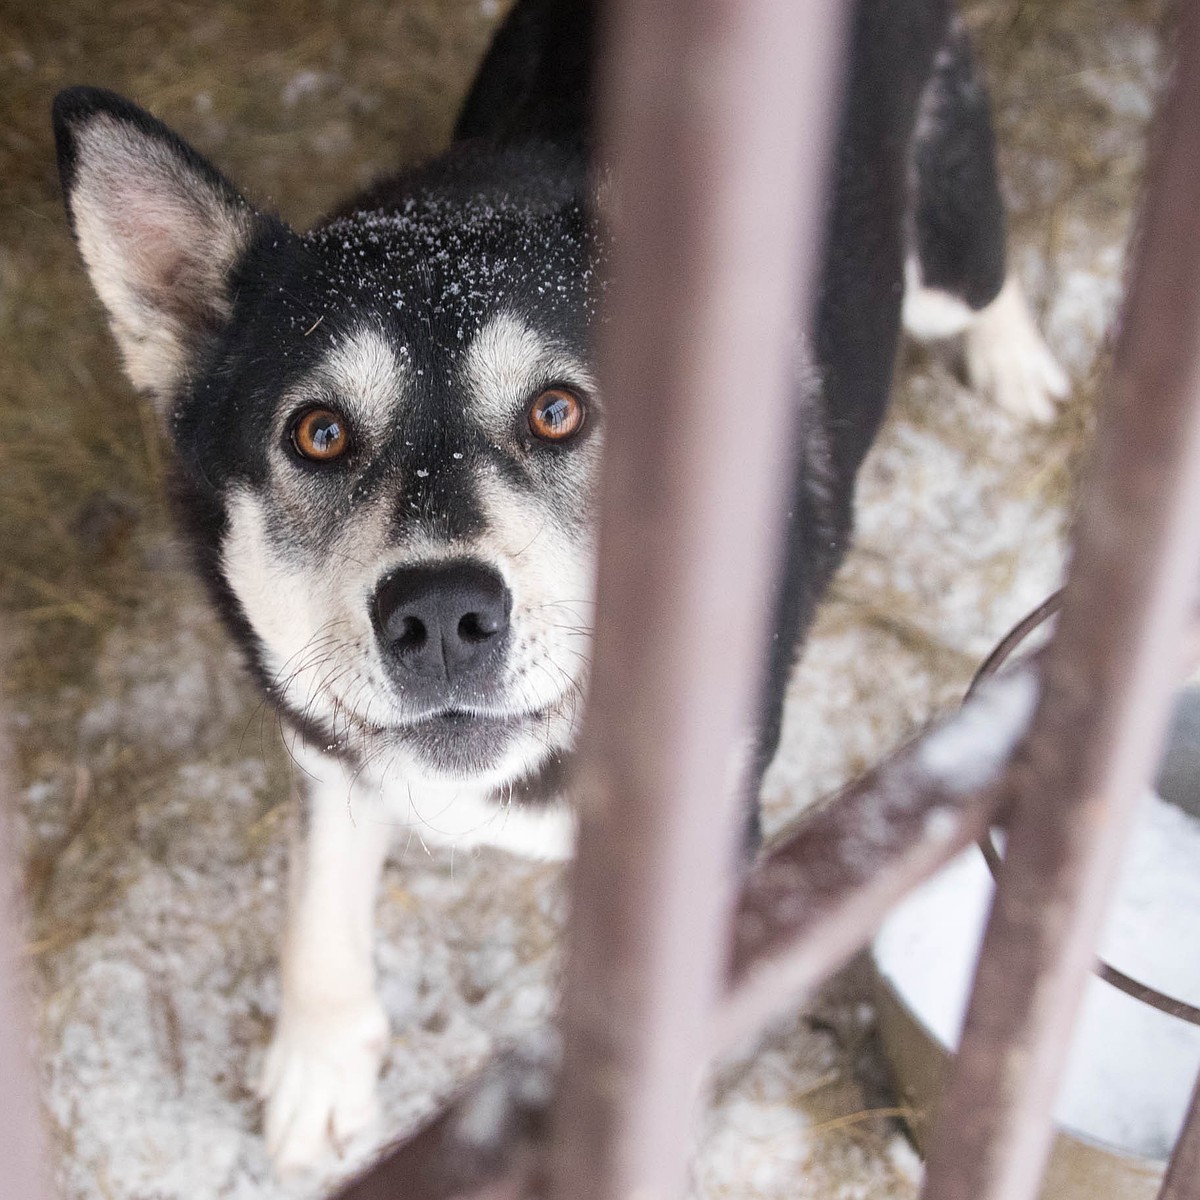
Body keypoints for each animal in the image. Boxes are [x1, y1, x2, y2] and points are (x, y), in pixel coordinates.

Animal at [51, 0, 1065, 1171]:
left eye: (557, 412)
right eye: (318, 433)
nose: (441, 615)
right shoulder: (326, 747)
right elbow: (318, 912)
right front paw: (319, 1065)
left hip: (941, 246)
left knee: (984, 271)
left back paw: (1020, 364)